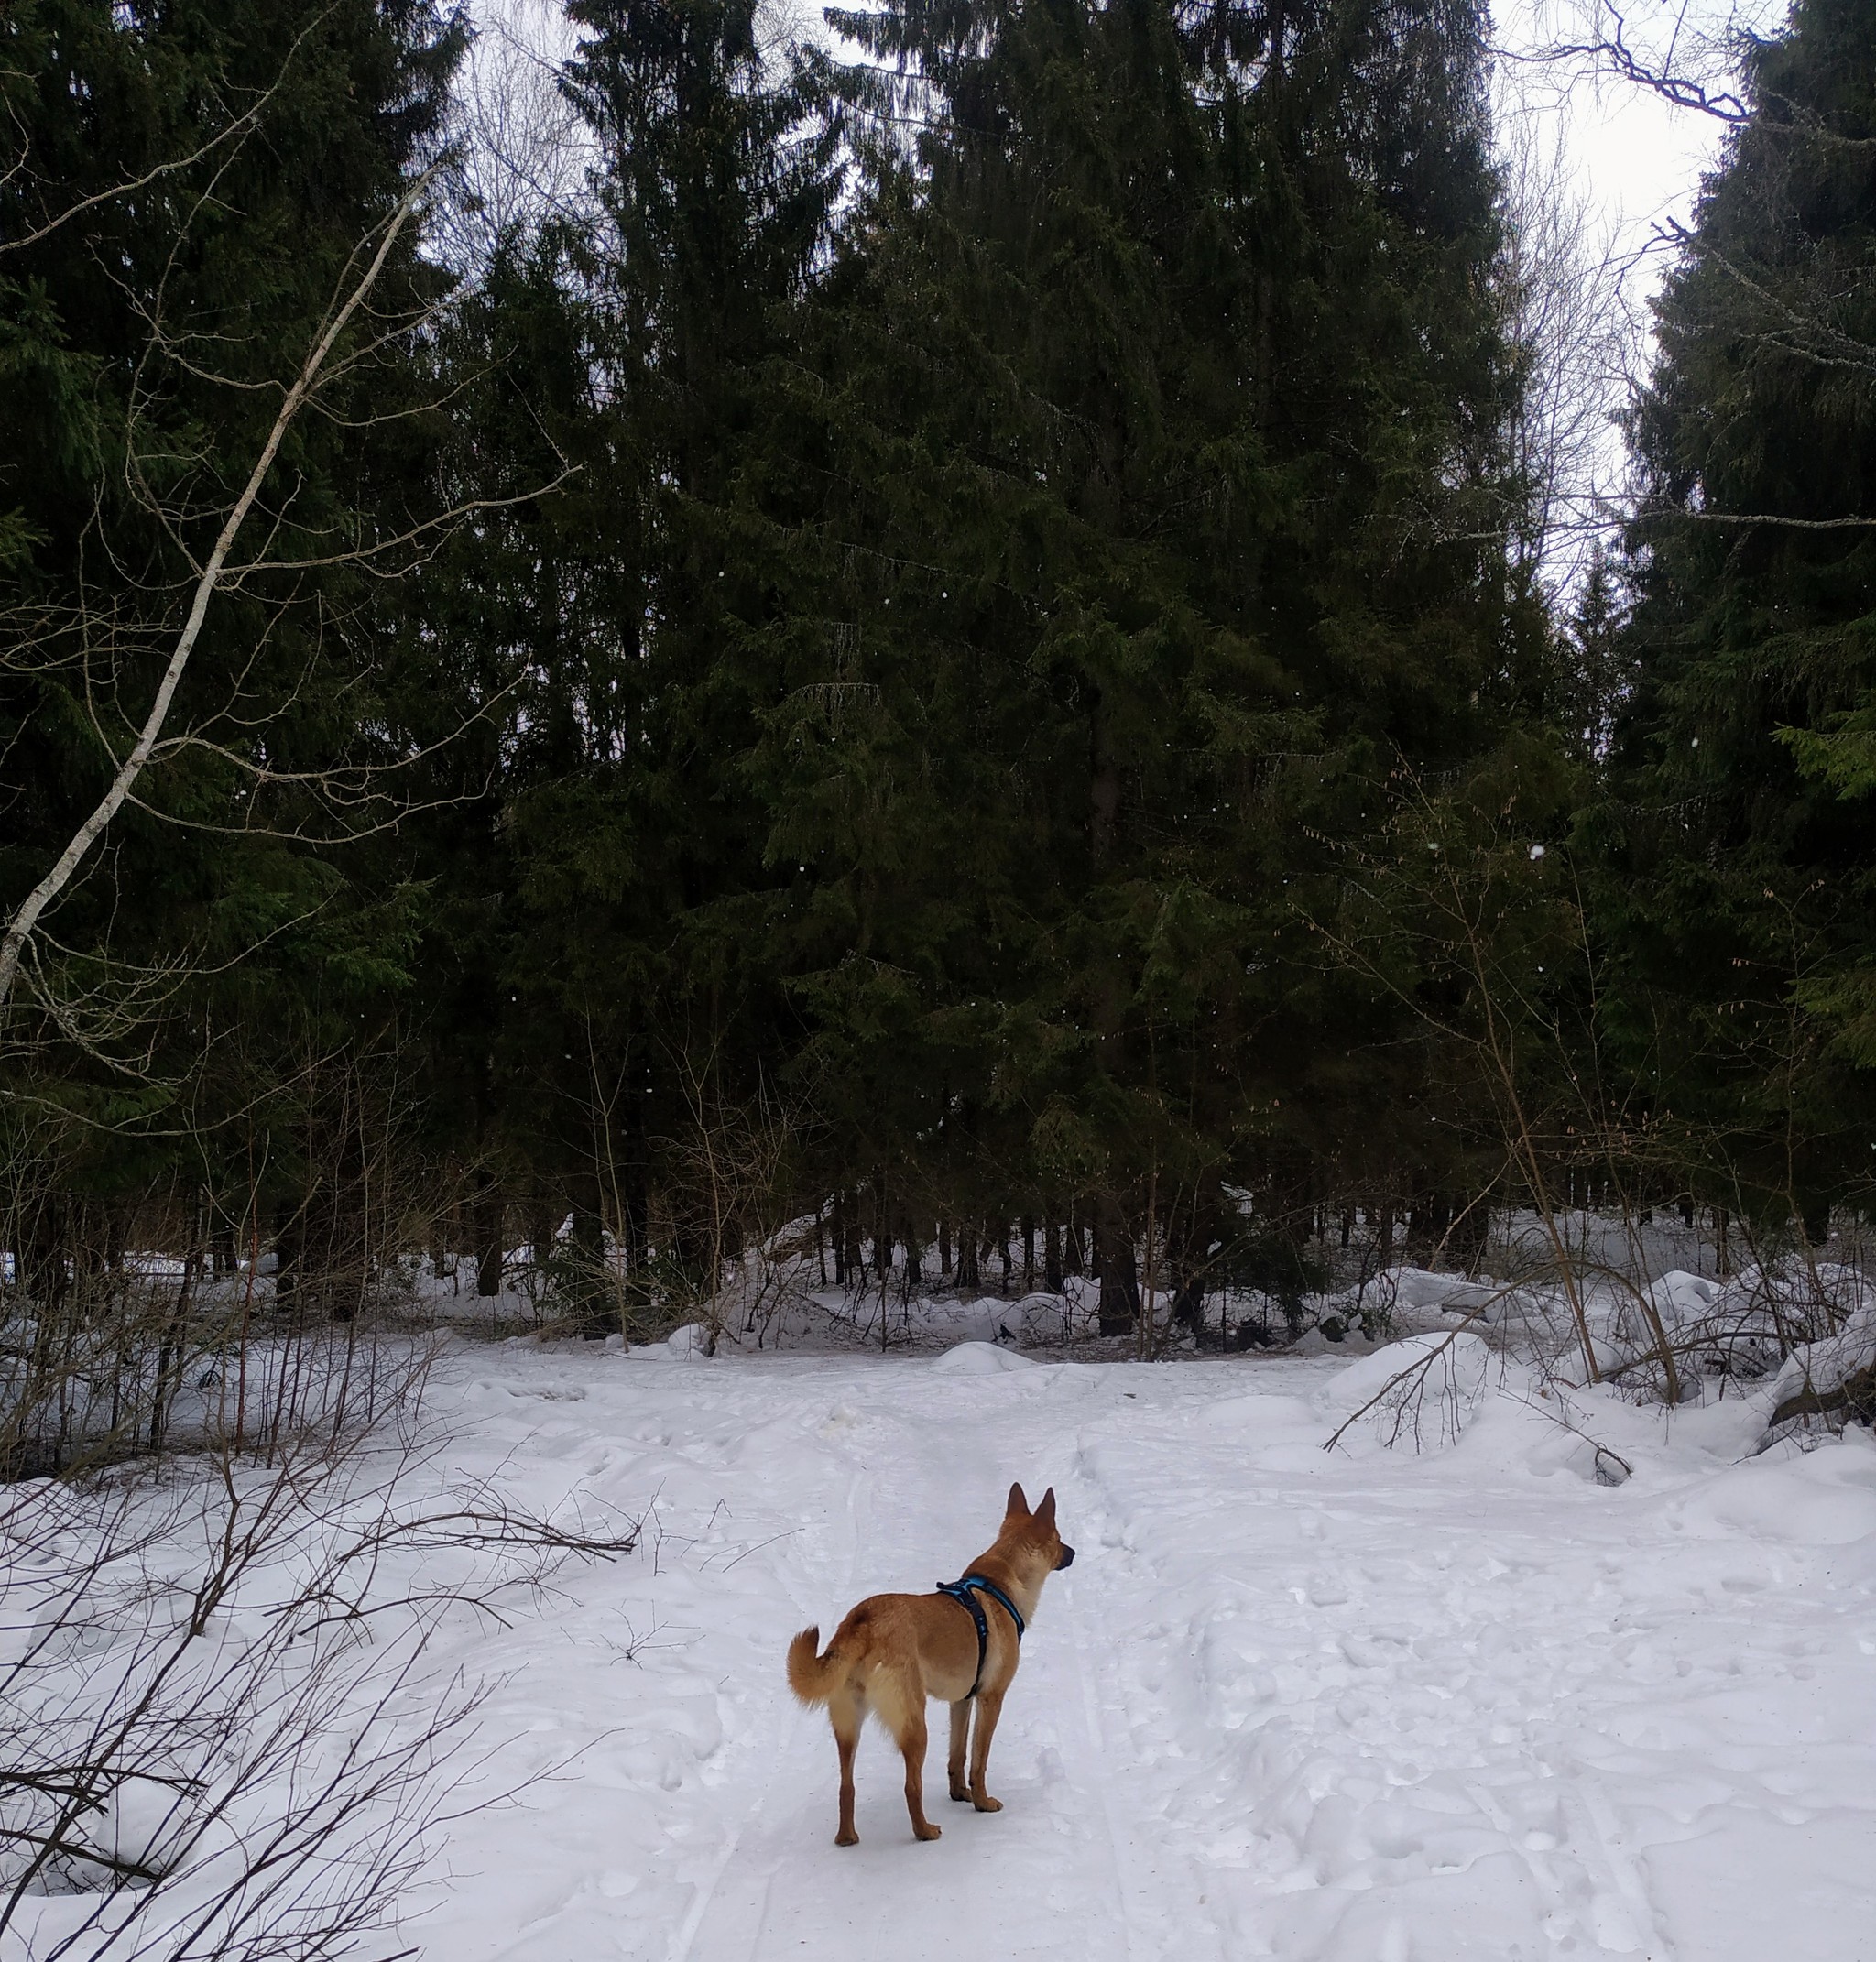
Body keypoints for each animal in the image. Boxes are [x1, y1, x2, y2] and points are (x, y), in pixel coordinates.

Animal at [784, 1475, 1074, 1844]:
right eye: (1059, 1539)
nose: (1074, 1553)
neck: (998, 1583)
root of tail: (863, 1622)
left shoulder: (961, 1701)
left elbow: (957, 1755)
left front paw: (960, 1793)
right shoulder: (991, 1699)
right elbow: (979, 1760)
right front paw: (982, 1801)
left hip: (848, 1727)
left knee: (846, 1787)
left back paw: (847, 1837)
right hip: (914, 1725)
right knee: (911, 1787)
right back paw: (924, 1830)